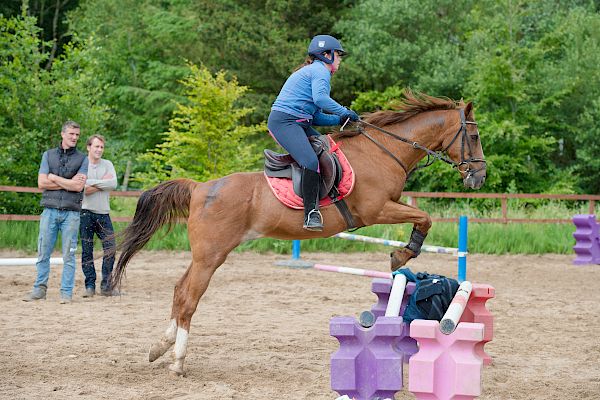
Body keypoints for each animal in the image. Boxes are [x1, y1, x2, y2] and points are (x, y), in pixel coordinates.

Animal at [111, 90, 488, 376]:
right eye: (473, 136)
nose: (479, 177)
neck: (383, 151)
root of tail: (199, 187)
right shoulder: (376, 209)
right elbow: (424, 218)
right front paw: (402, 254)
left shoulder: (386, 206)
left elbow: (422, 217)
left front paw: (401, 255)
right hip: (211, 256)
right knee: (189, 298)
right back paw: (177, 361)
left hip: (204, 254)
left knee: (179, 291)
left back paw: (159, 348)